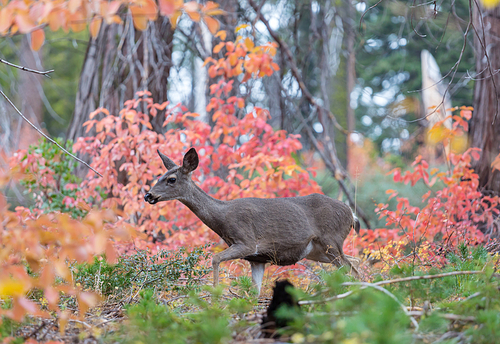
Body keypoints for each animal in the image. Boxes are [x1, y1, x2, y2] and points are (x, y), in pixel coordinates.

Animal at [144, 146, 360, 294]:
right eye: (160, 176)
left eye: (171, 179)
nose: (148, 195)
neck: (222, 218)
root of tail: (351, 213)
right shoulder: (256, 258)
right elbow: (254, 293)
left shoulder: (247, 242)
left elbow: (215, 258)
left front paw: (214, 295)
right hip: (318, 251)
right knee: (354, 262)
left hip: (330, 240)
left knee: (351, 270)